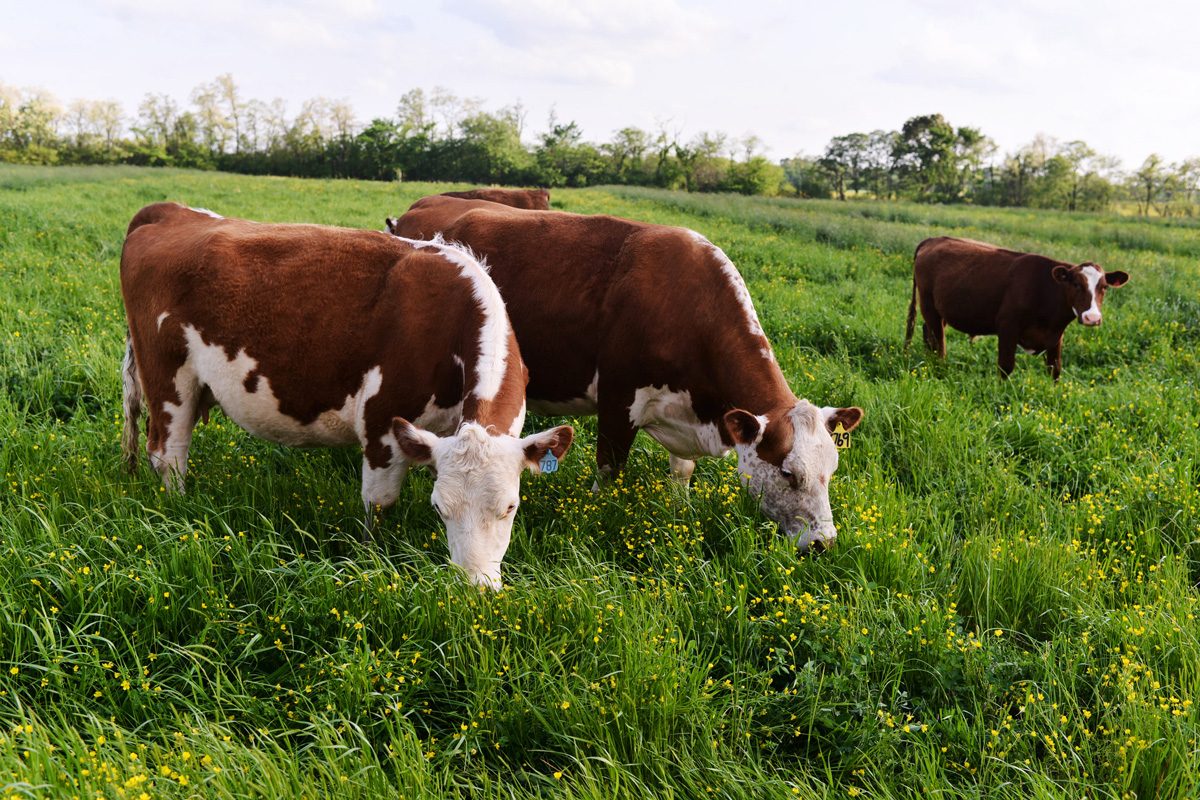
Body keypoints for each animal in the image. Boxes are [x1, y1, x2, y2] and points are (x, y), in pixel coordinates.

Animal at [120, 202, 573, 589]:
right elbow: (378, 502)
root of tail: (167, 211)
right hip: (168, 377)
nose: (474, 588)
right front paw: (373, 557)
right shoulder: (382, 421)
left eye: (510, 507)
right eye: (439, 509)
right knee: (168, 453)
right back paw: (180, 511)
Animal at [388, 197, 863, 553]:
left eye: (832, 469)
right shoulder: (618, 400)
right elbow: (609, 470)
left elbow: (682, 472)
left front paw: (680, 510)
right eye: (788, 473)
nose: (823, 542)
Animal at [905, 236, 1129, 379]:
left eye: (1104, 287)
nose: (1093, 318)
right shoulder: (1007, 326)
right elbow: (1005, 366)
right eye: (1076, 284)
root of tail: (933, 239)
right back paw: (938, 369)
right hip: (929, 305)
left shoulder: (1056, 334)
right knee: (939, 344)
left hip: (942, 309)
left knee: (928, 333)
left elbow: (1055, 368)